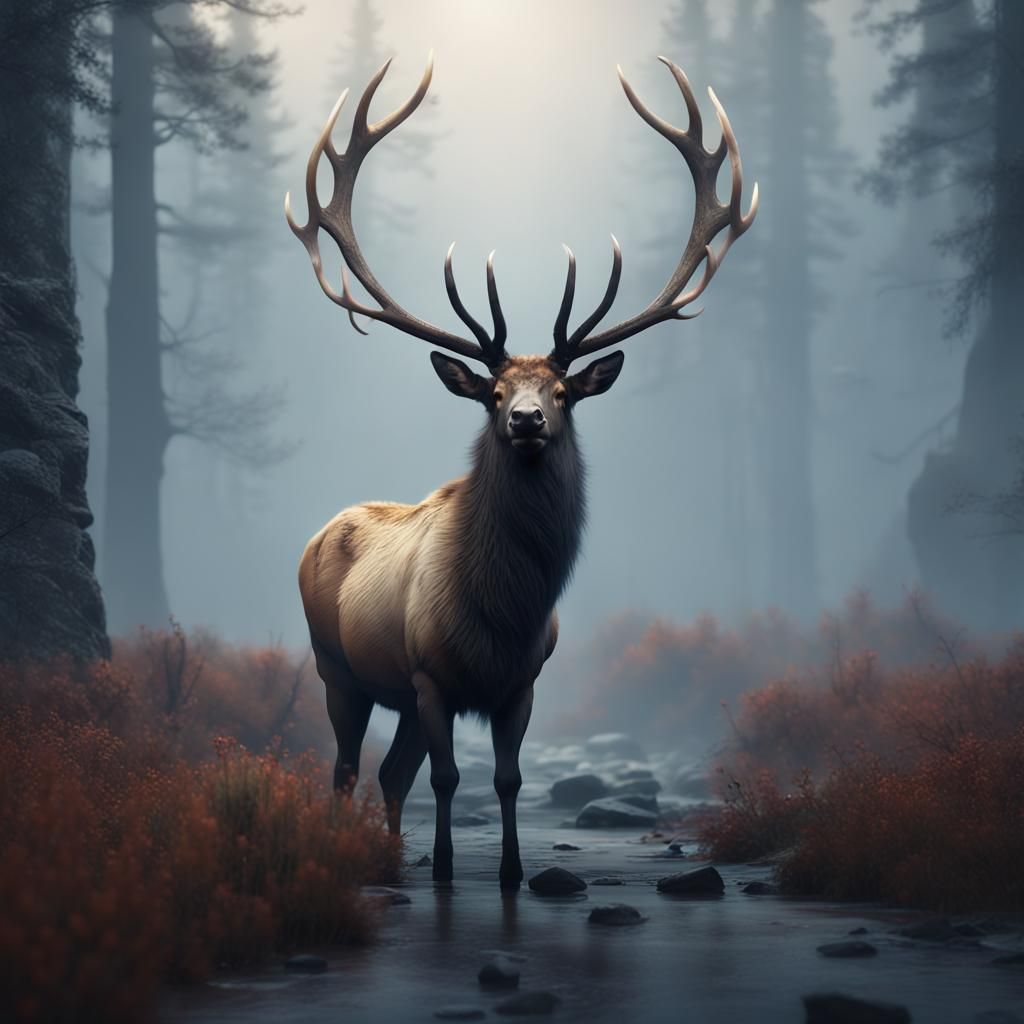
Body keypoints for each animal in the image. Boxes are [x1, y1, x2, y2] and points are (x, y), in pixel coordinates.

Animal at [285, 53, 757, 889]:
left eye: (563, 391)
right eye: (495, 392)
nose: (528, 420)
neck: (499, 616)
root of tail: (318, 535)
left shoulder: (523, 682)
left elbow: (505, 780)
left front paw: (507, 872)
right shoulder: (431, 677)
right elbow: (449, 778)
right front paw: (445, 869)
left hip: (392, 692)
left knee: (388, 774)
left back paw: (389, 856)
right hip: (336, 667)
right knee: (344, 769)